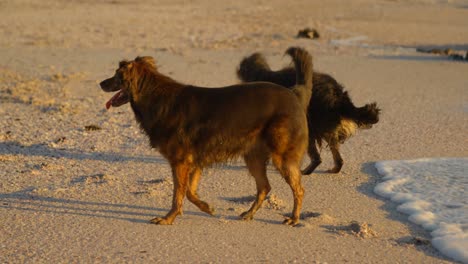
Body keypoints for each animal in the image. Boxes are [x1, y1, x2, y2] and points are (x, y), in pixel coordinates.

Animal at [99, 47, 312, 225]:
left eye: (116, 75)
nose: (100, 83)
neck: (154, 97)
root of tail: (293, 94)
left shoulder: (180, 162)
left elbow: (178, 194)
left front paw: (168, 218)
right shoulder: (193, 162)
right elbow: (189, 192)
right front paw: (207, 207)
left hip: (281, 157)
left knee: (299, 189)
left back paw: (294, 218)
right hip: (254, 157)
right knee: (265, 187)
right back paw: (249, 214)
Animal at [238, 52, 380, 174]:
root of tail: (337, 94)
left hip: (311, 127)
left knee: (317, 158)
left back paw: (304, 171)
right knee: (336, 157)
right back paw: (333, 169)